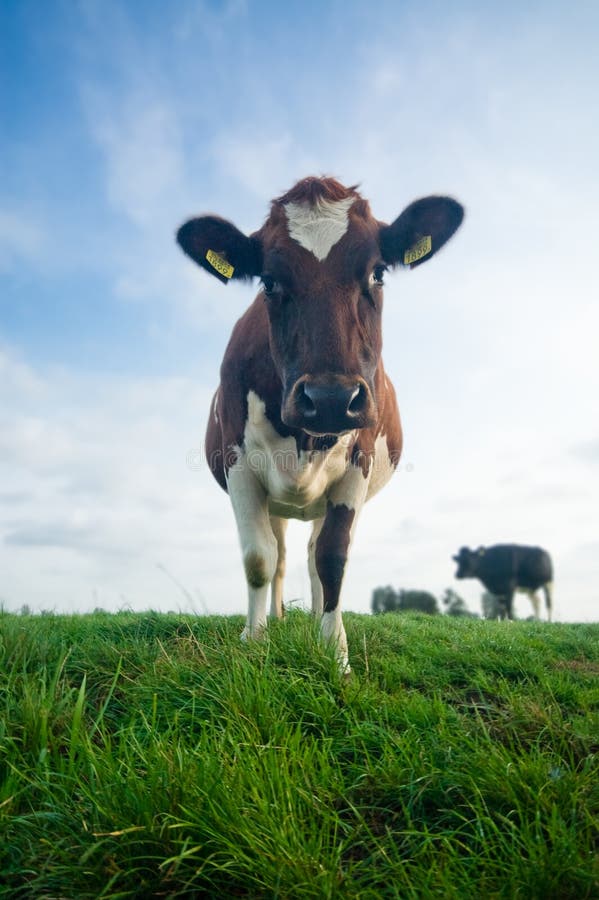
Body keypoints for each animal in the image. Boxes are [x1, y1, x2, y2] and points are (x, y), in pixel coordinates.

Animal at [176, 178, 466, 668]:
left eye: (378, 273)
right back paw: (276, 619)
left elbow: (332, 558)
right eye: (269, 281)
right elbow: (258, 557)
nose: (331, 399)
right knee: (280, 553)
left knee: (313, 553)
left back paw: (315, 620)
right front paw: (254, 640)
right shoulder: (238, 464)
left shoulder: (358, 462)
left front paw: (335, 653)